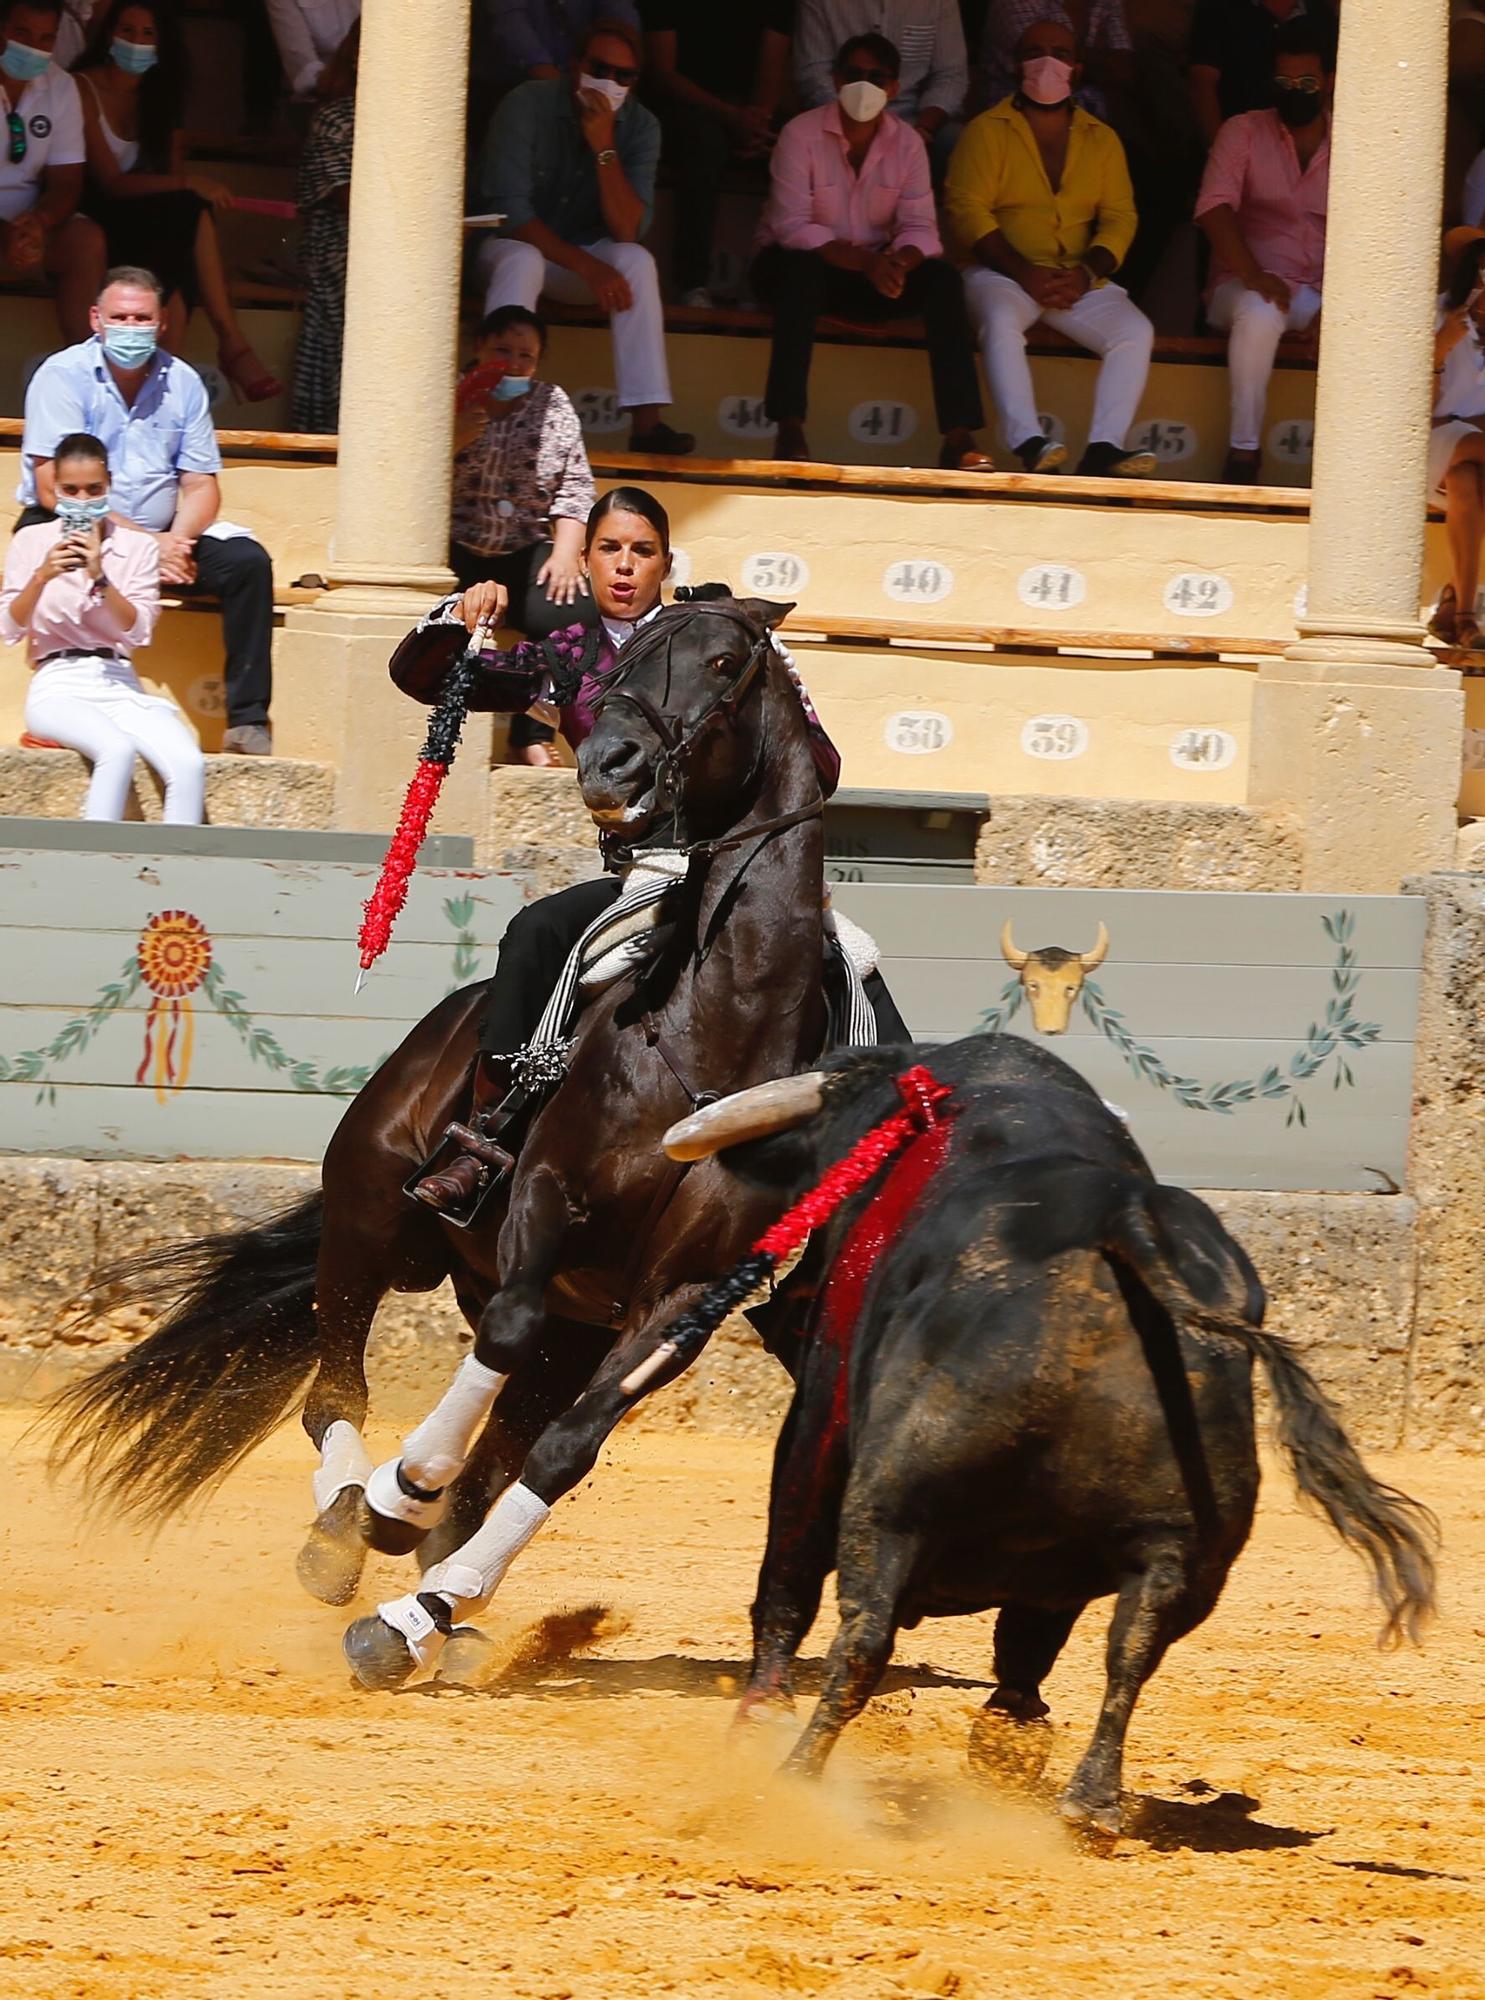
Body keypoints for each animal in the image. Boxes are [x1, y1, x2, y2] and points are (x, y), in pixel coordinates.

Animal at [696, 1032, 1440, 1832]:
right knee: (1132, 1647)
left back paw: (789, 1780)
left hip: (890, 1500)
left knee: (862, 1632)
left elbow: (788, 1569)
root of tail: (1121, 1221)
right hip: (1187, 1550)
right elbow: (1035, 1643)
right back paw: (1087, 1805)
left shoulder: (820, 1412)